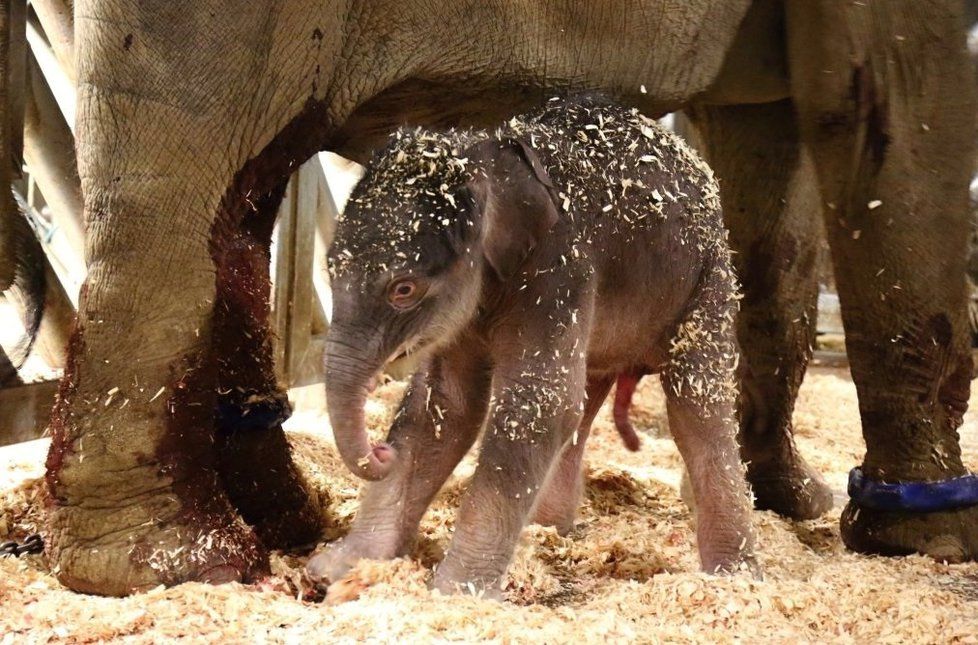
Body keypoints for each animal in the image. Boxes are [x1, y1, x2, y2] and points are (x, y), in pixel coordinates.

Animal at [308, 94, 760, 592]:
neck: (489, 159)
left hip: (708, 279)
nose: (380, 451)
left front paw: (455, 592)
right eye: (329, 268)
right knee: (588, 396)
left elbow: (538, 406)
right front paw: (338, 570)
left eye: (403, 289)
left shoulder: (558, 270)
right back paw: (548, 531)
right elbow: (445, 405)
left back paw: (736, 577)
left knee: (696, 408)